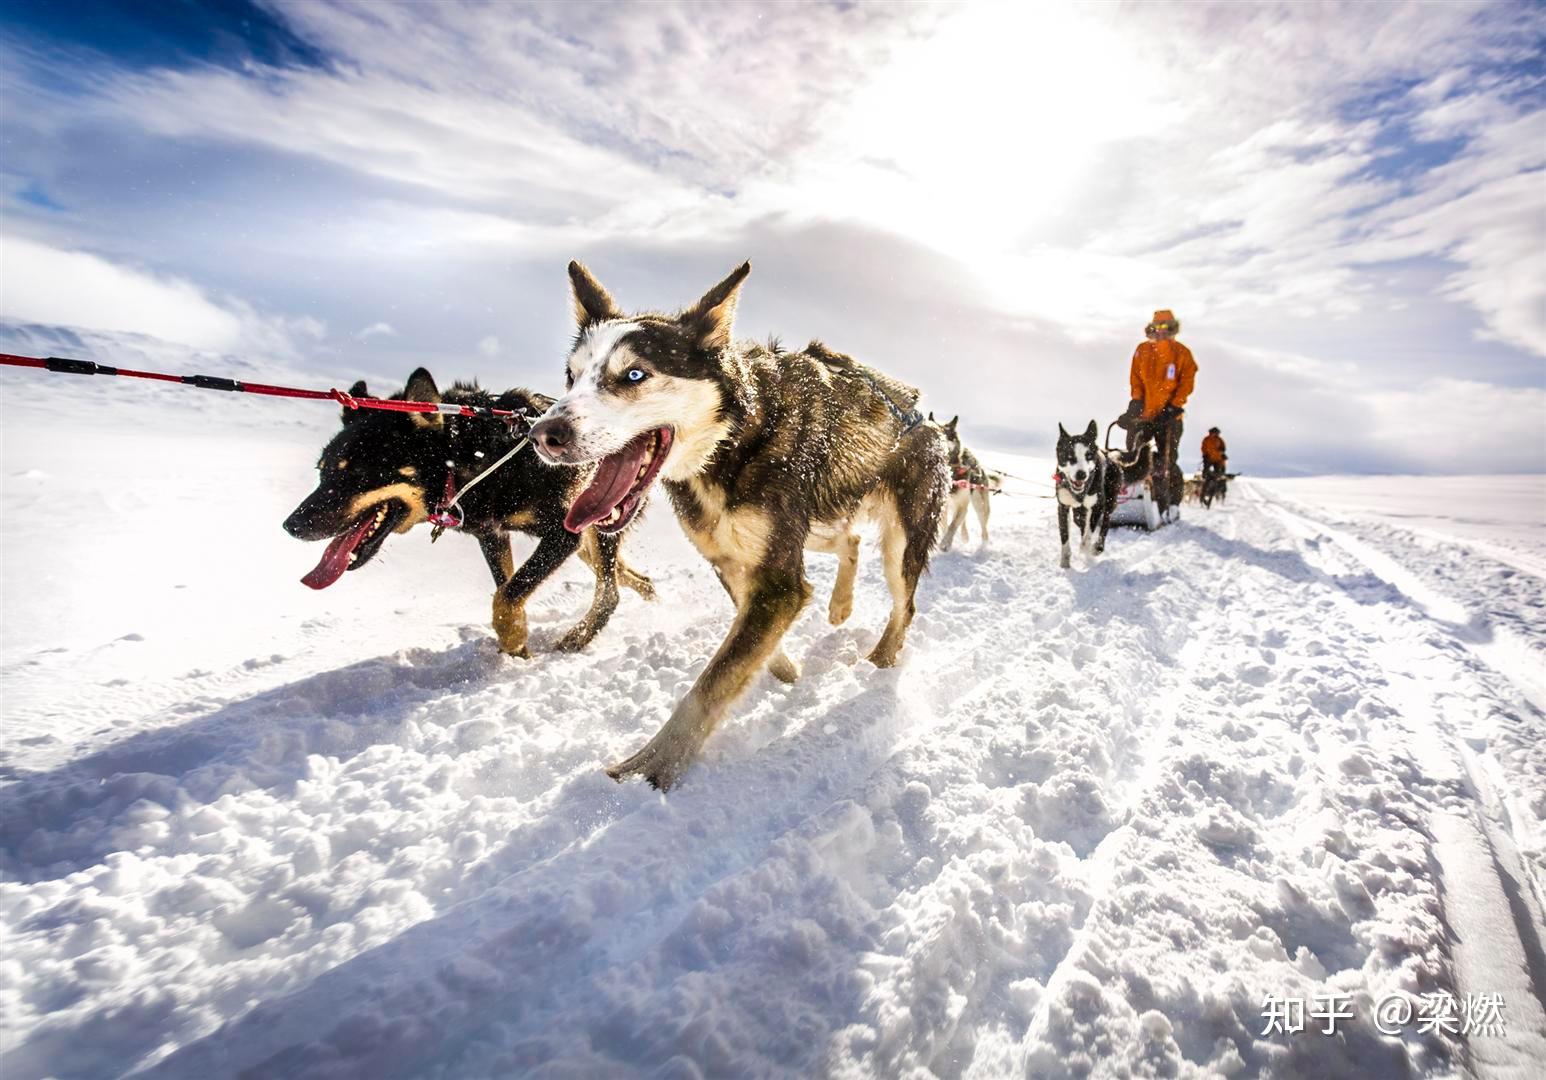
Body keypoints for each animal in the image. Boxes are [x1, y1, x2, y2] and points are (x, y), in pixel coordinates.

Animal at [284, 372, 652, 655]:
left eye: (358, 474)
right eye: (322, 471)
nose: (291, 525)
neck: (479, 458)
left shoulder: (563, 533)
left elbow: (509, 593)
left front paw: (514, 637)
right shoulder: (491, 534)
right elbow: (506, 587)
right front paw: (516, 640)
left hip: (598, 526)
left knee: (609, 592)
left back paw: (580, 636)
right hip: (590, 542)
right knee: (627, 577)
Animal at [531, 258, 952, 791]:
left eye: (633, 374)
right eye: (571, 377)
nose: (542, 434)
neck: (734, 440)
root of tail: (929, 420)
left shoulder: (777, 580)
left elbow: (713, 682)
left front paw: (652, 769)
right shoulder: (732, 561)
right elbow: (747, 639)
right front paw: (785, 668)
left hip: (900, 540)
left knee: (905, 604)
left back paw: (881, 658)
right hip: (815, 522)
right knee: (850, 540)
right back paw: (840, 606)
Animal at [1051, 417, 1150, 571]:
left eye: (1089, 456)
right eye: (1070, 457)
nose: (1081, 474)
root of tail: (1112, 457)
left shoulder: (1097, 506)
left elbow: (1088, 536)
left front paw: (1086, 551)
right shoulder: (1063, 507)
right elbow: (1065, 537)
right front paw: (1064, 564)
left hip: (1110, 502)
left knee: (1105, 523)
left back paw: (1097, 548)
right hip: (1079, 513)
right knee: (1082, 524)